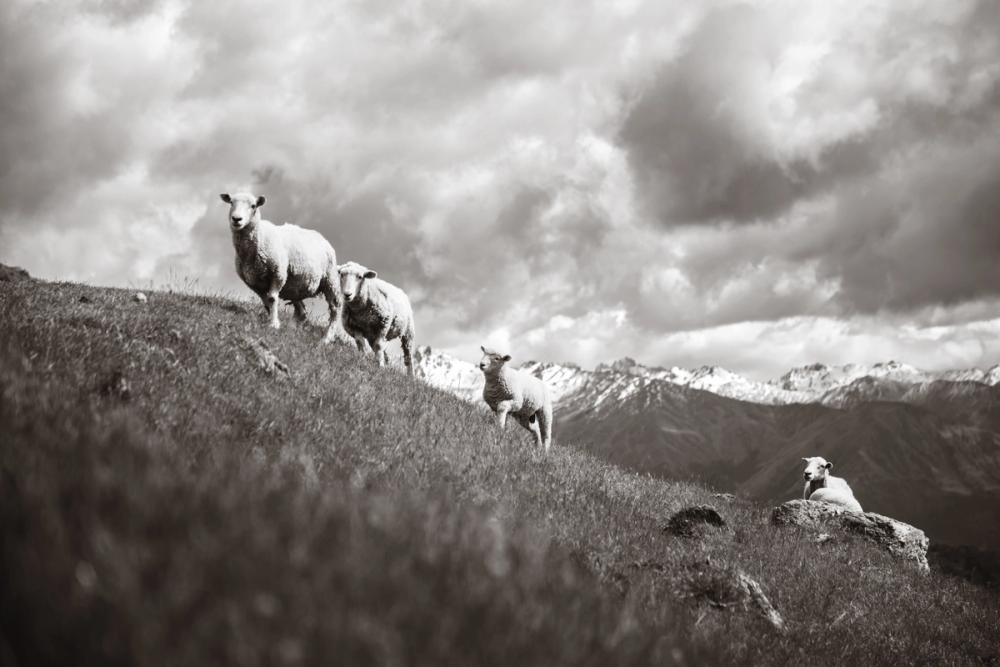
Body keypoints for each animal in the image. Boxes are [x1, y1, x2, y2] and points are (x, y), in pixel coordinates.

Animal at [220, 192, 343, 342]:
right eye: (231, 202)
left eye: (253, 205)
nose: (236, 219)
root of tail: (322, 238)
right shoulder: (253, 282)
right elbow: (266, 301)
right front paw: (273, 320)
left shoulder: (278, 274)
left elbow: (272, 299)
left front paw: (273, 324)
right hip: (295, 286)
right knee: (302, 311)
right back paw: (291, 329)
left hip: (330, 280)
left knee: (335, 308)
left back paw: (327, 338)